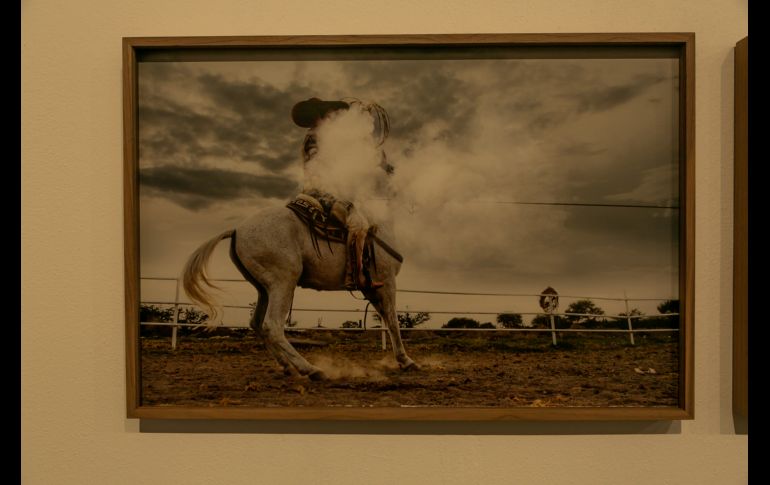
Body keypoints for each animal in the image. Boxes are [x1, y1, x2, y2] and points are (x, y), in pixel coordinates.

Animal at [181, 103, 416, 382]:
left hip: (264, 287)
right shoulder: (388, 281)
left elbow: (387, 320)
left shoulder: (372, 287)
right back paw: (310, 368)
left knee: (257, 324)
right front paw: (407, 361)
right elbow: (393, 321)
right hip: (284, 281)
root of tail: (237, 230)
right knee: (272, 325)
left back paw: (287, 366)